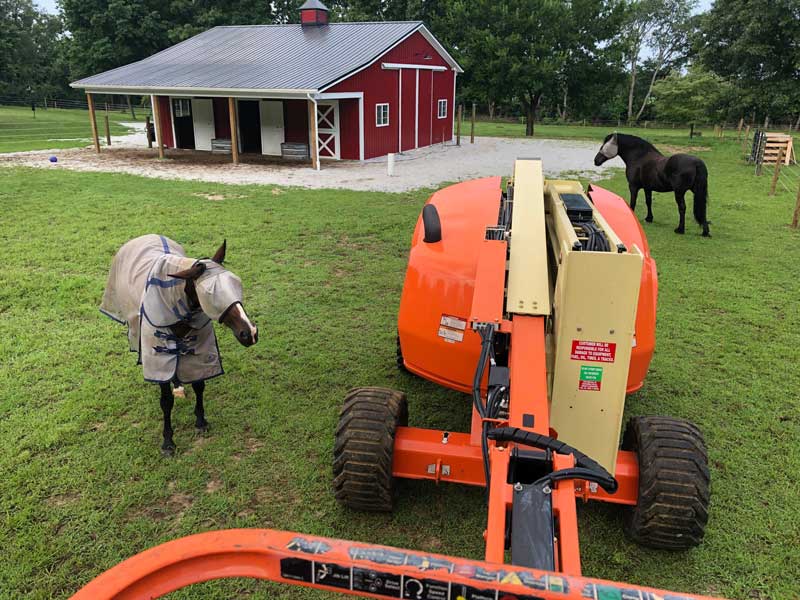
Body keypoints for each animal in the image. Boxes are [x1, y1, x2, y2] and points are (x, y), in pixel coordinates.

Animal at [98, 234, 258, 454]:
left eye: (236, 283)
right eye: (210, 294)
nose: (250, 333)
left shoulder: (200, 351)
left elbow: (199, 385)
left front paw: (200, 421)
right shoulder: (158, 357)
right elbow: (166, 402)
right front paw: (168, 442)